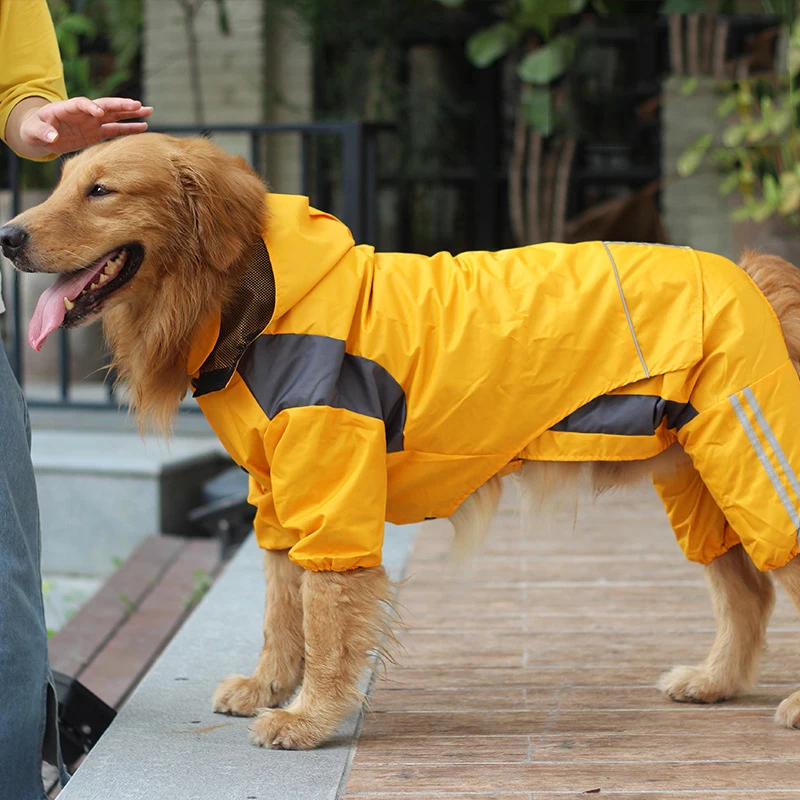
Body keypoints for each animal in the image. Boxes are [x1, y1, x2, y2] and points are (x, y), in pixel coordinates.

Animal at [4, 131, 800, 752]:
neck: (254, 305)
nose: (7, 237)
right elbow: (280, 607)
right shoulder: (278, 495)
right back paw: (716, 680)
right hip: (708, 483)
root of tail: (754, 276)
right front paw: (270, 685)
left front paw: (308, 718)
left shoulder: (333, 490)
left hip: (760, 468)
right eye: (61, 183)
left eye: (100, 190)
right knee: (748, 591)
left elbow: (326, 618)